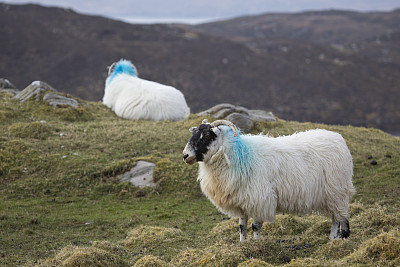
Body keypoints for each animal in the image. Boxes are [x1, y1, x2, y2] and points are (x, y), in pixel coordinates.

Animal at [183, 121, 354, 243]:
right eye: (194, 133)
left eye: (206, 136)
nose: (185, 155)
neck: (238, 154)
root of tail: (338, 138)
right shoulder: (241, 200)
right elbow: (241, 226)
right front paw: (242, 245)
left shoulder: (259, 199)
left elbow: (255, 226)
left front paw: (257, 244)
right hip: (330, 195)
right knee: (335, 218)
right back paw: (332, 239)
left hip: (337, 191)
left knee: (342, 217)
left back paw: (343, 238)